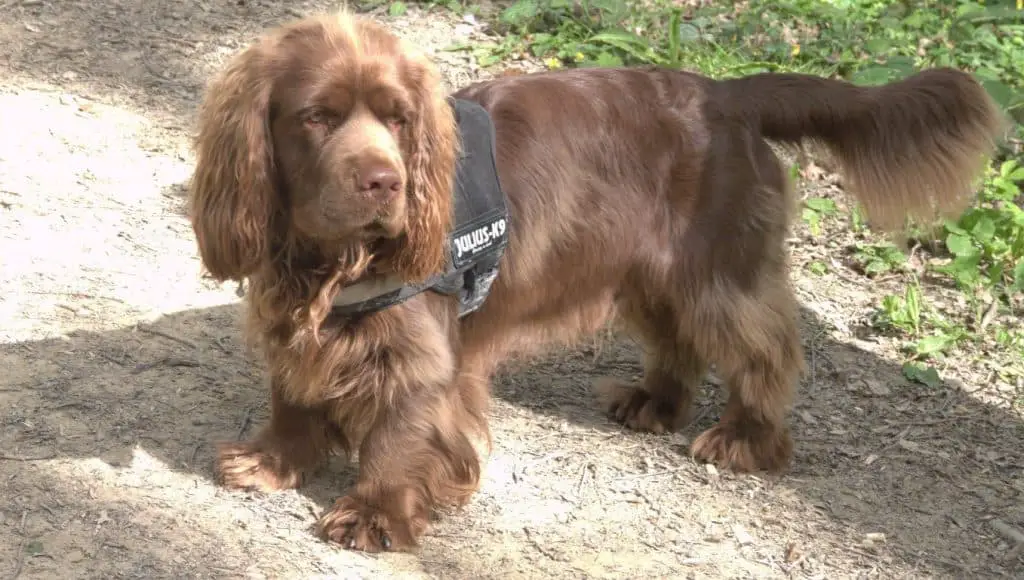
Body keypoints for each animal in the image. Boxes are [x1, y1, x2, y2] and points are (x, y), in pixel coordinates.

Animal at [188, 11, 1003, 553]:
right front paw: (272, 461)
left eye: (399, 119)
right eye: (316, 117)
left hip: (718, 272)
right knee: (679, 342)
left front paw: (376, 514)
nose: (385, 182)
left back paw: (746, 437)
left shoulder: (418, 355)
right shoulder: (294, 320)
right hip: (652, 271)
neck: (330, 263)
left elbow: (397, 433)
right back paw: (654, 404)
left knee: (765, 349)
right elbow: (294, 393)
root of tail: (728, 96)